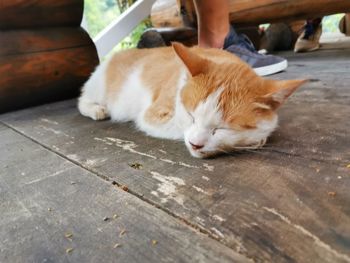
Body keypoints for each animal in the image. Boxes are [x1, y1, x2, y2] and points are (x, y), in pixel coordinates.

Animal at [78, 42, 304, 159]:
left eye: (222, 128)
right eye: (191, 116)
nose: (195, 145)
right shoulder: (153, 115)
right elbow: (178, 128)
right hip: (100, 85)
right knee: (82, 100)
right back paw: (96, 109)